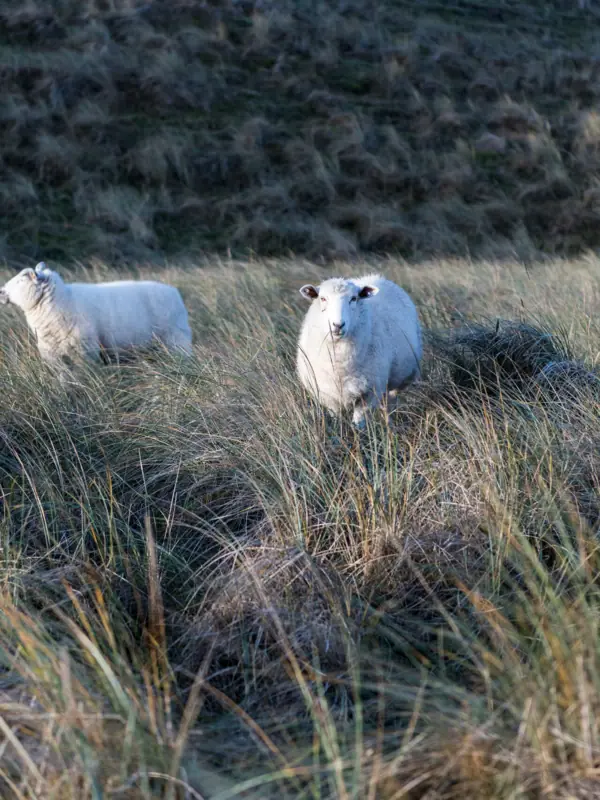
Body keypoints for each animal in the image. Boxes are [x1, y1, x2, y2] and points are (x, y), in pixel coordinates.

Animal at [0, 263, 193, 366]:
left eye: (22, 279)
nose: (1, 291)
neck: (63, 300)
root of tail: (174, 292)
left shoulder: (85, 351)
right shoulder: (56, 356)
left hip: (176, 339)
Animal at [296, 273, 422, 428]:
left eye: (354, 298)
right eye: (323, 298)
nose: (338, 325)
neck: (340, 365)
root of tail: (376, 277)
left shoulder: (369, 392)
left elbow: (359, 424)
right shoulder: (329, 395)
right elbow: (336, 419)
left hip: (396, 381)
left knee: (389, 403)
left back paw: (389, 425)